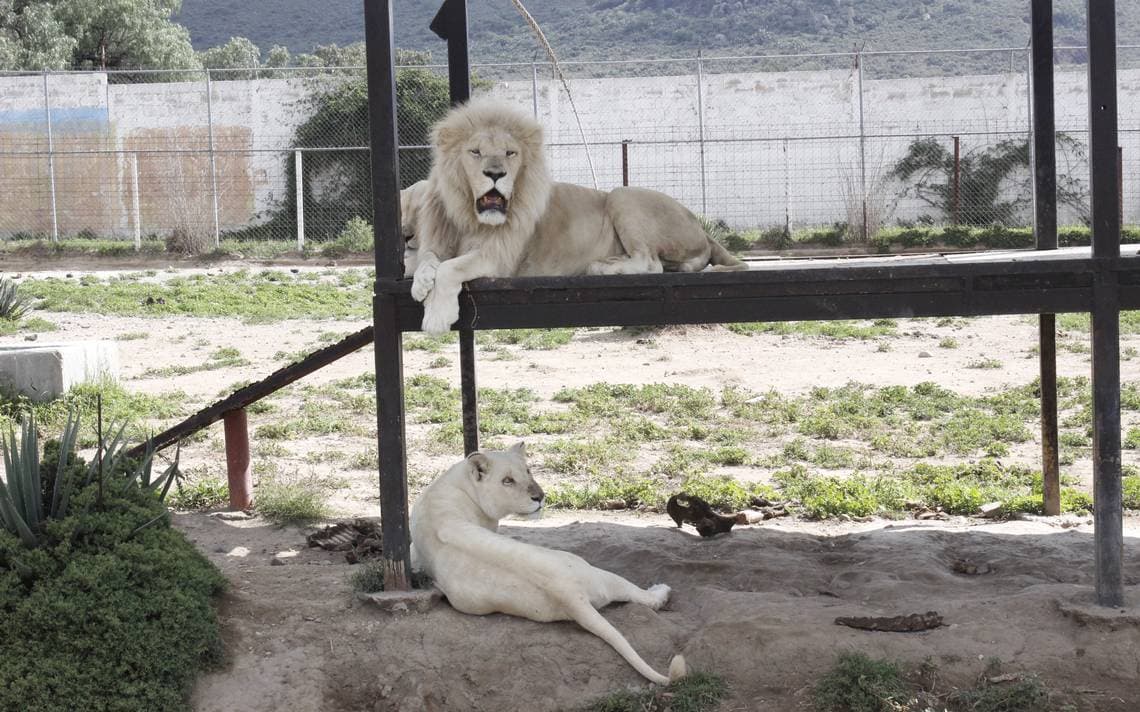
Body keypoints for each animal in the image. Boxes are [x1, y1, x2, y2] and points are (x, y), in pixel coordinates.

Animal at [409, 97, 747, 334]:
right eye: (475, 152)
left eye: (510, 153)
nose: (495, 174)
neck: (468, 216)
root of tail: (703, 230)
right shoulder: (439, 240)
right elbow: (427, 258)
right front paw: (421, 282)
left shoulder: (500, 259)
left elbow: (450, 268)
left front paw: (436, 316)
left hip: (622, 196)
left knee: (650, 263)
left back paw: (602, 266)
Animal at [410, 442, 687, 685]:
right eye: (507, 480)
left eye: (528, 471)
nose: (540, 497)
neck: (458, 484)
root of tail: (569, 594)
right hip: (592, 570)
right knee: (641, 597)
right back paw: (660, 592)